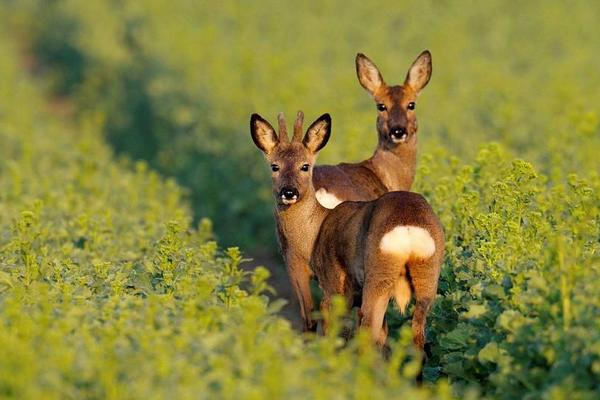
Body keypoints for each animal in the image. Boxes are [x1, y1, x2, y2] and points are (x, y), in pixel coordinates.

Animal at [251, 111, 442, 348]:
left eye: (305, 166)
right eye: (274, 166)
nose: (289, 192)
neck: (317, 228)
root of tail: (408, 230)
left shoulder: (331, 283)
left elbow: (326, 328)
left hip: (378, 276)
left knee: (368, 330)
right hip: (428, 278)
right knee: (416, 336)